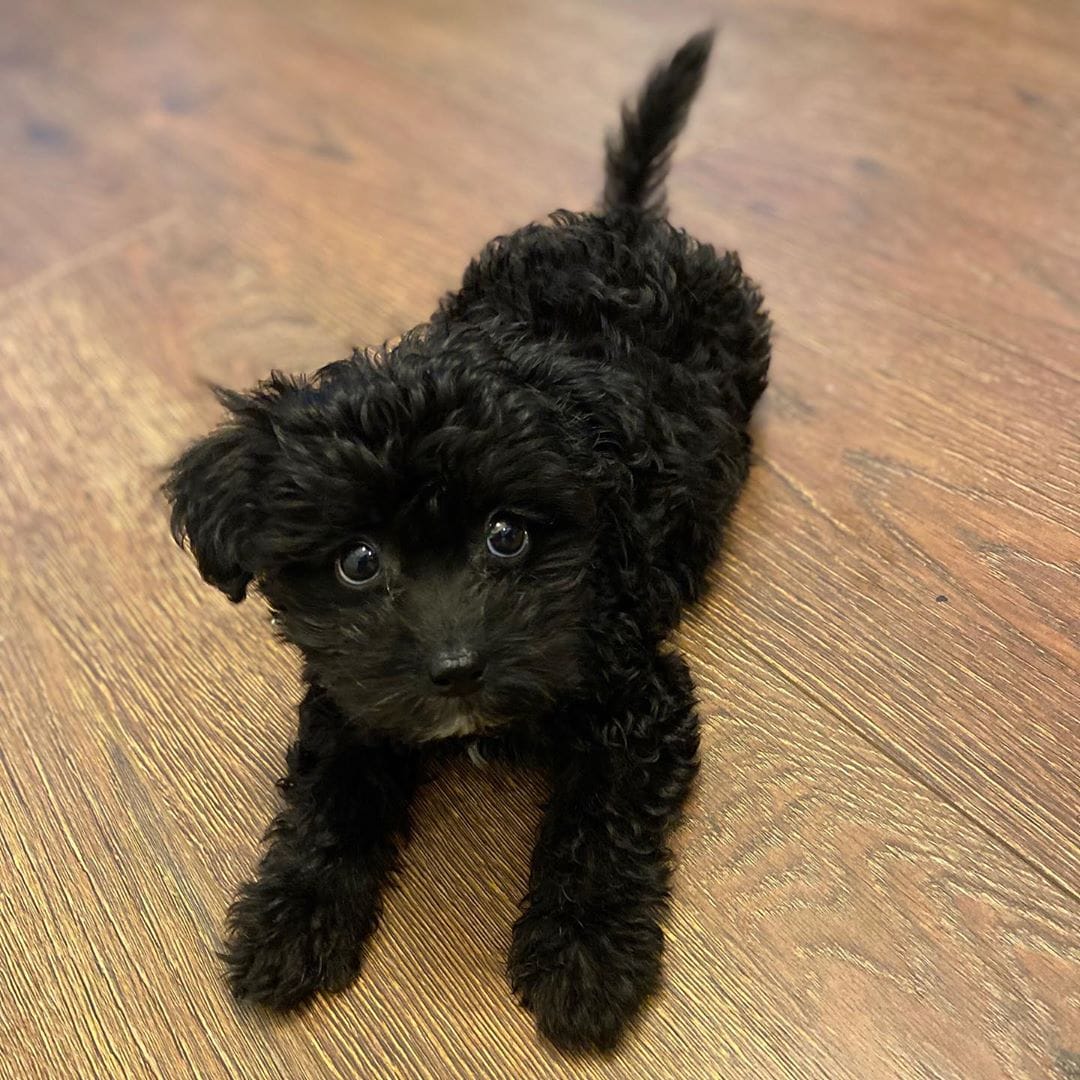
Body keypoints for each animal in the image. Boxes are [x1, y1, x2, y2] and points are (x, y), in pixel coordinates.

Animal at [164, 29, 768, 1049]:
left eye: (507, 537)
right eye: (358, 561)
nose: (455, 670)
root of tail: (622, 226)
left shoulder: (639, 696)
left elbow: (598, 821)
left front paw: (584, 955)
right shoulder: (356, 697)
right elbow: (328, 803)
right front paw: (291, 920)